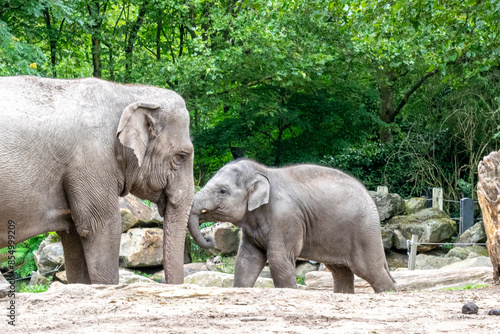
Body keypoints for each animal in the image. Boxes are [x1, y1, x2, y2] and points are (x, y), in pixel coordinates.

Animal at [189, 159, 396, 292]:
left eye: (222, 191)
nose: (209, 237)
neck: (263, 172)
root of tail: (371, 197)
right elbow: (246, 260)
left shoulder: (285, 217)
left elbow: (278, 259)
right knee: (340, 271)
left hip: (364, 231)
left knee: (370, 270)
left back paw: (388, 292)